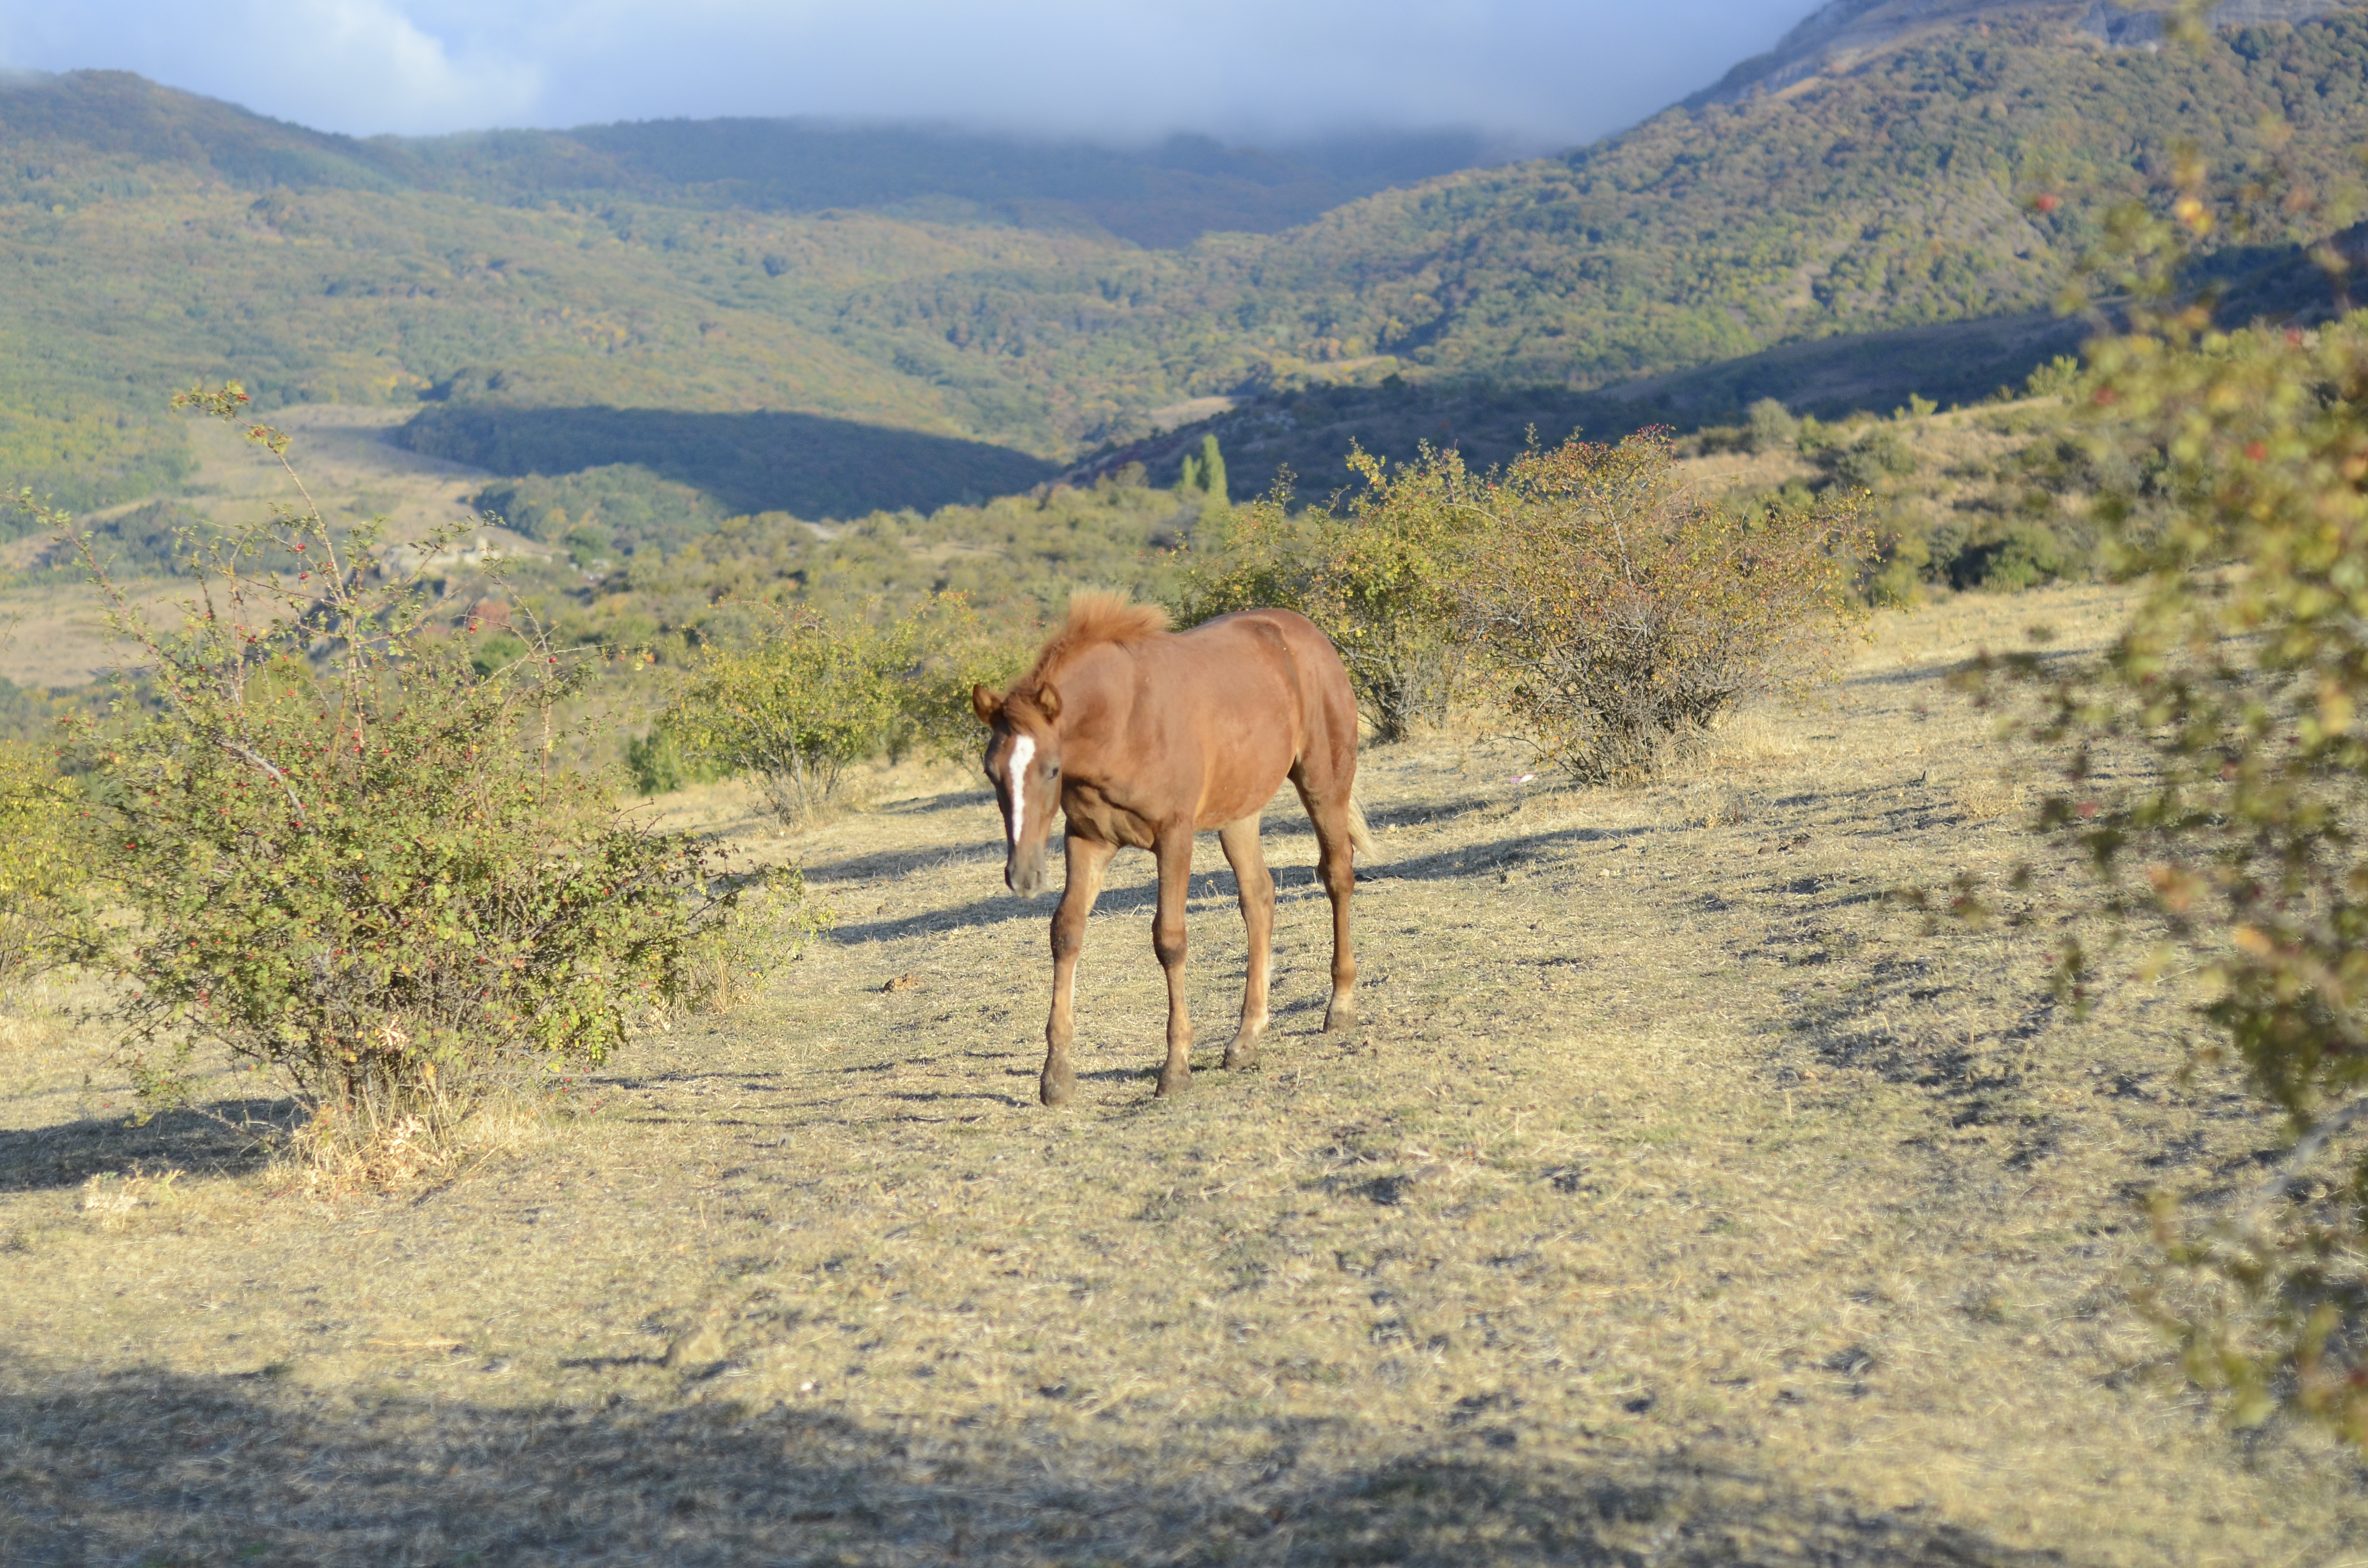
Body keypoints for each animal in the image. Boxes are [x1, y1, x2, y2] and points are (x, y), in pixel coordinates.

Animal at [971, 597, 1382, 1113]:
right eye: (992, 772)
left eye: (1051, 770)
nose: (1023, 876)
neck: (1124, 719)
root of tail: (1308, 634)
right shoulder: (1087, 839)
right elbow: (1065, 933)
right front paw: (1056, 1077)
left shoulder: (1174, 837)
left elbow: (1169, 940)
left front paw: (1175, 1070)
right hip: (1238, 812)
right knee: (1259, 897)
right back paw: (1246, 1039)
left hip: (1323, 782)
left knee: (1337, 874)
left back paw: (1340, 1006)